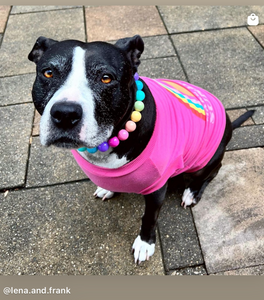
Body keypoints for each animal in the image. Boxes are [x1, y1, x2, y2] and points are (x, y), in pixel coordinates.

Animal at [27, 34, 255, 264]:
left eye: (106, 78)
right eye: (48, 72)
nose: (65, 114)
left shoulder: (156, 189)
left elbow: (149, 218)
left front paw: (145, 244)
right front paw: (109, 188)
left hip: (205, 161)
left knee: (212, 172)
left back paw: (192, 192)